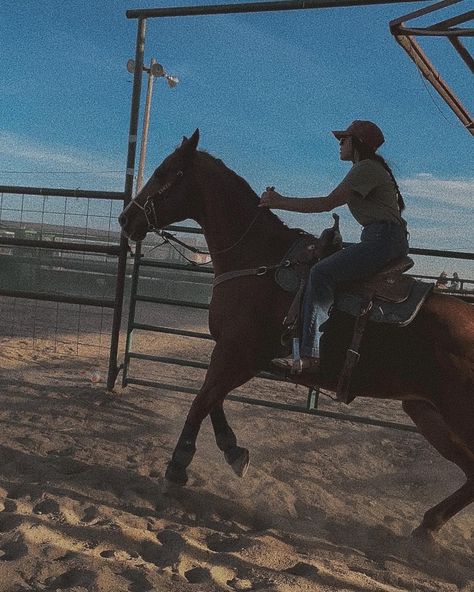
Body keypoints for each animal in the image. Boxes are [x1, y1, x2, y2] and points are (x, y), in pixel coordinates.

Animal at [119, 131, 474, 540]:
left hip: (456, 415)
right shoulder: (234, 354)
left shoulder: (239, 354)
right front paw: (233, 452)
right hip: (426, 412)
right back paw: (426, 527)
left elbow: (202, 400)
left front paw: (177, 467)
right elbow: (212, 399)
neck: (257, 259)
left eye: (164, 172)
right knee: (471, 472)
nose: (126, 219)